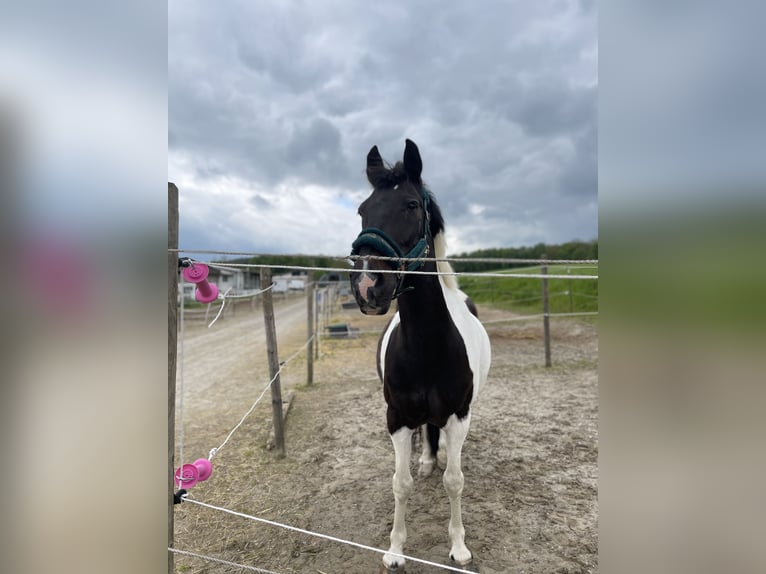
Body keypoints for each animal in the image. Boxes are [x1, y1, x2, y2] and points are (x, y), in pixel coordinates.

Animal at [352, 140, 496, 572]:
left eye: (412, 205)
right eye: (363, 209)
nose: (368, 284)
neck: (427, 347)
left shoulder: (460, 414)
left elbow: (456, 481)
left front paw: (459, 547)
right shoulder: (397, 418)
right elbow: (401, 484)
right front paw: (396, 550)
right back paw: (430, 459)